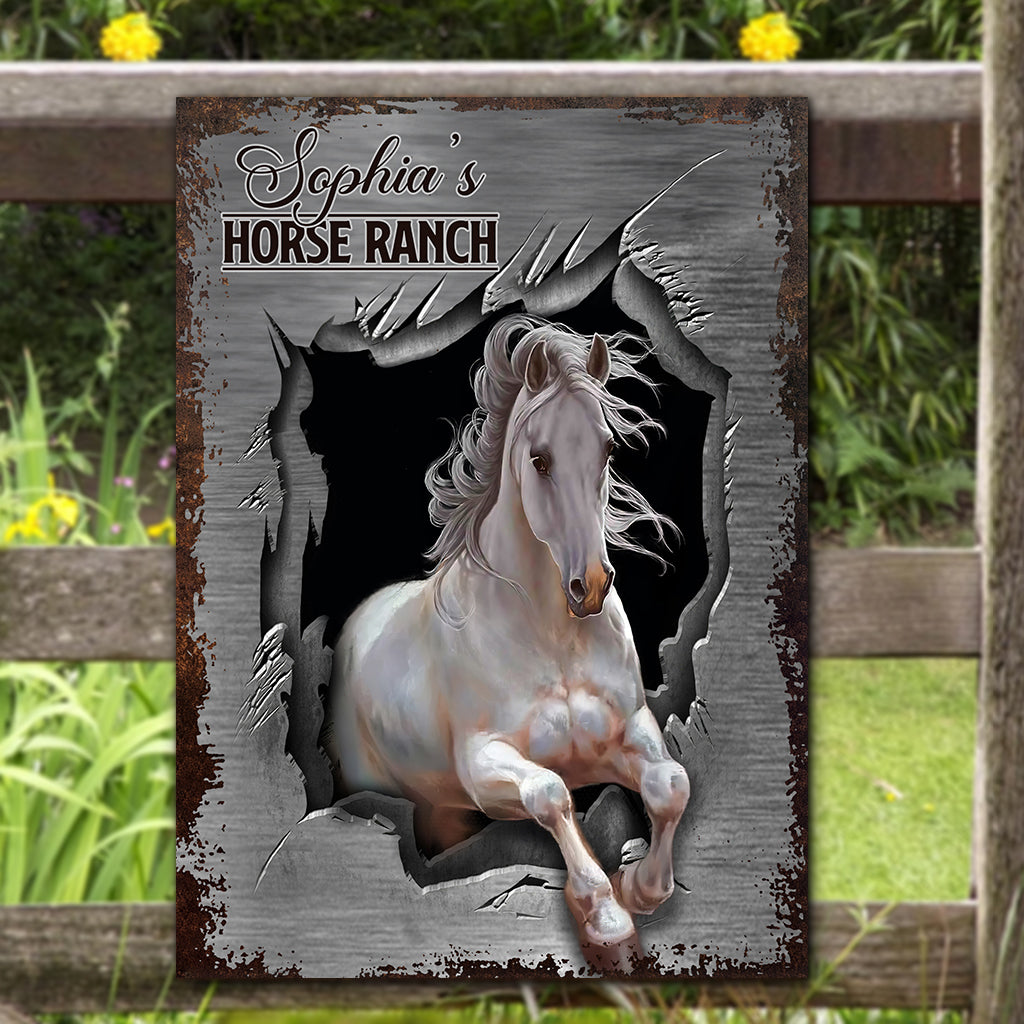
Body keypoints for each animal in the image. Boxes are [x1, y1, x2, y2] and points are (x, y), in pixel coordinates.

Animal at [324, 314, 691, 970]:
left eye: (607, 449)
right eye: (540, 459)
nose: (590, 585)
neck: (551, 636)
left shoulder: (626, 731)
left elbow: (671, 785)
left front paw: (640, 888)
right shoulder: (486, 767)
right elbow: (551, 794)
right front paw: (604, 916)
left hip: (445, 808)